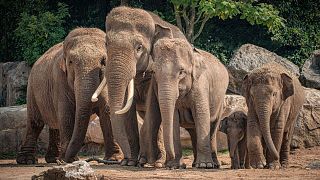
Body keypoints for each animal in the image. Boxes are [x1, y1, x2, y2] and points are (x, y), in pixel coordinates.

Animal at [16, 27, 123, 165]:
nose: (68, 159)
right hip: (32, 90)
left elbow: (107, 112)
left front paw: (114, 159)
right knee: (35, 123)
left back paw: (54, 159)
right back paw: (28, 160)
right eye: (71, 62)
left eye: (104, 61)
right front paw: (69, 160)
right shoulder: (60, 80)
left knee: (54, 125)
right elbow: (67, 114)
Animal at [91, 5, 186, 166]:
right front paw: (129, 163)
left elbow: (151, 109)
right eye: (106, 44)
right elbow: (128, 111)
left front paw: (144, 160)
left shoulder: (154, 74)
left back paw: (158, 161)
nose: (126, 158)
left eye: (139, 47)